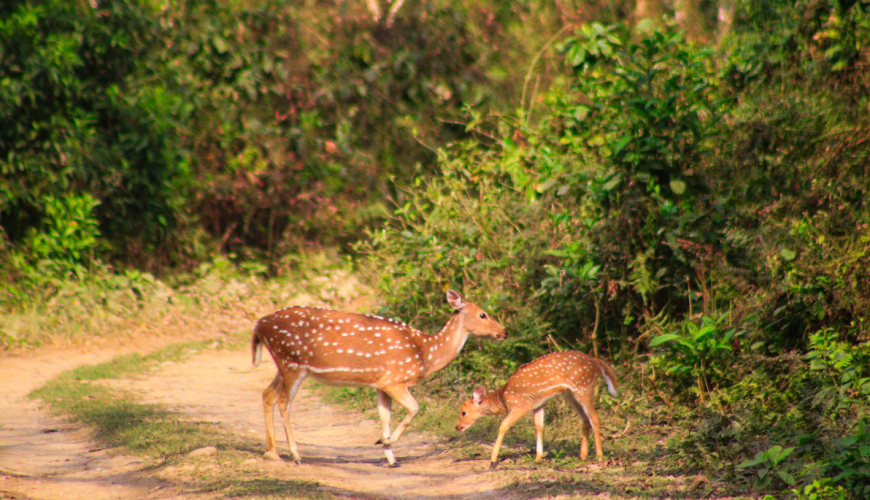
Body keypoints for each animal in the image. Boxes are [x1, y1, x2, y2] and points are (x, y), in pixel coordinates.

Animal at [252, 292, 508, 466]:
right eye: (483, 314)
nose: (505, 332)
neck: (425, 353)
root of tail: (260, 325)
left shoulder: (380, 384)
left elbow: (384, 416)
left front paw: (390, 456)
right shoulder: (394, 379)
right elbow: (414, 408)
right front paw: (384, 442)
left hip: (283, 365)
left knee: (267, 394)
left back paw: (272, 452)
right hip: (292, 362)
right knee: (283, 402)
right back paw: (296, 455)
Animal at [456, 352, 620, 468]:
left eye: (463, 412)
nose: (457, 427)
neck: (504, 399)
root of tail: (597, 362)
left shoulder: (521, 405)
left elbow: (503, 425)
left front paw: (493, 460)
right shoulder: (537, 404)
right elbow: (539, 426)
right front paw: (538, 457)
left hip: (584, 387)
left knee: (594, 416)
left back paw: (599, 456)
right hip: (570, 394)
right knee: (585, 418)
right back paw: (583, 455)